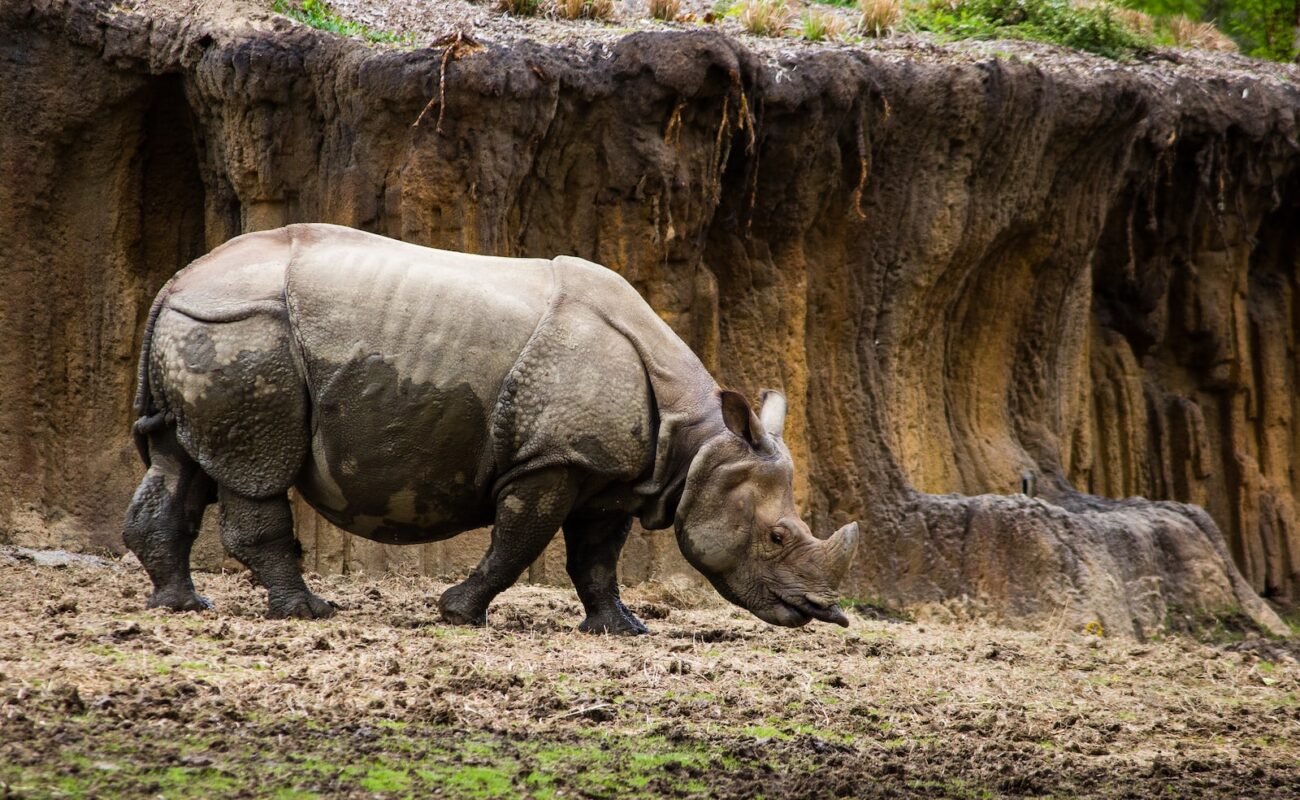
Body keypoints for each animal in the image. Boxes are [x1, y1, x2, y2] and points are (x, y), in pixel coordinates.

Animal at [124, 224, 860, 634]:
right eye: (777, 536)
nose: (822, 613)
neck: (698, 438)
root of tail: (176, 281)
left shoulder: (609, 473)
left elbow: (595, 557)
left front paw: (624, 630)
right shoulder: (551, 459)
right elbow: (518, 542)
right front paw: (458, 613)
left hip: (208, 330)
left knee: (179, 460)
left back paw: (183, 605)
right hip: (247, 333)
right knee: (256, 465)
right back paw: (306, 612)